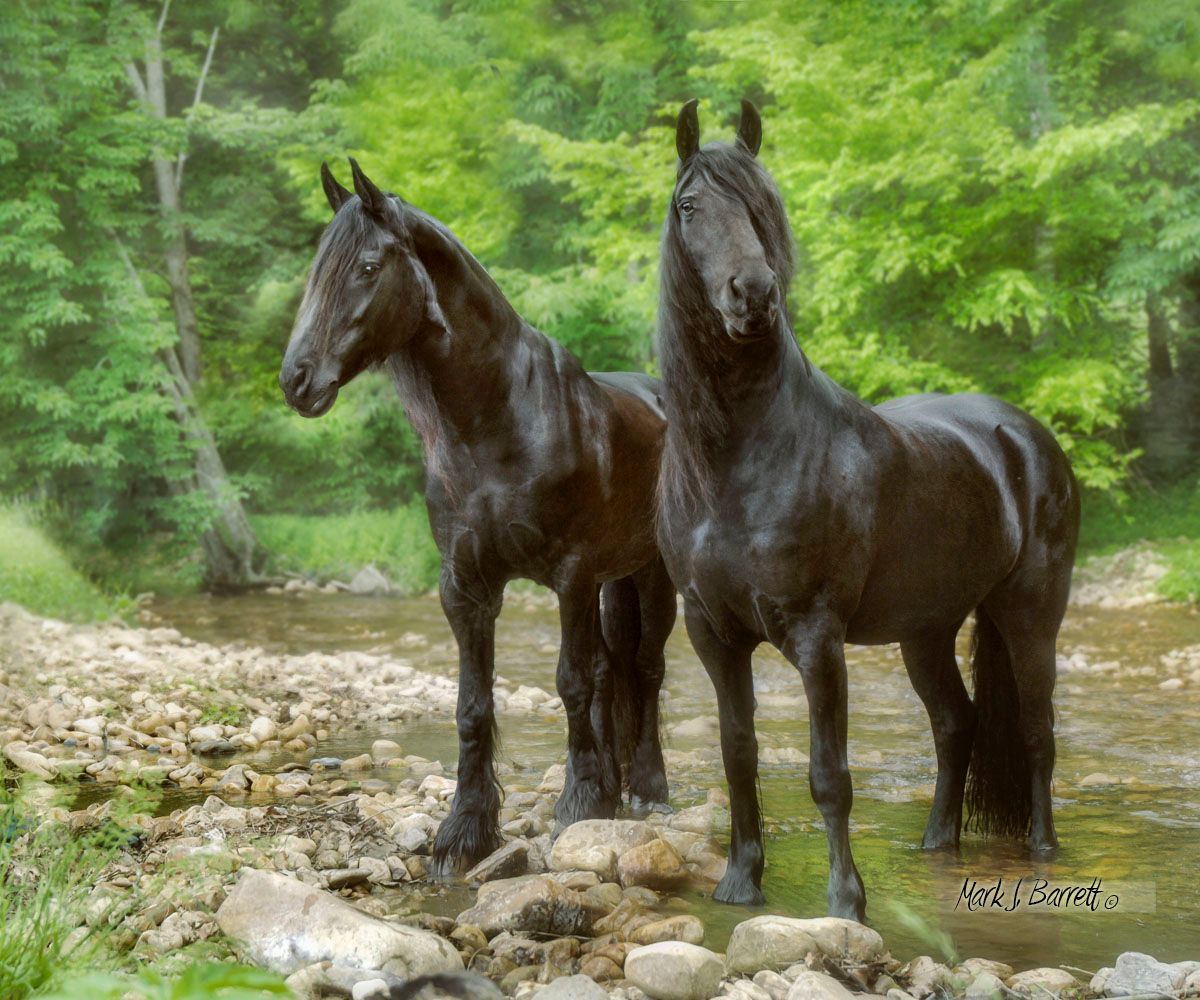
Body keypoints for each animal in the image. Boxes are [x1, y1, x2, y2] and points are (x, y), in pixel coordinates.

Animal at [279, 159, 677, 874]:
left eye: (369, 266)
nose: (297, 379)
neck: (496, 422)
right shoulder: (465, 585)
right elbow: (473, 704)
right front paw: (465, 830)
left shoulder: (571, 575)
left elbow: (571, 682)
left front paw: (579, 802)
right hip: (612, 581)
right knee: (615, 670)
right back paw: (616, 780)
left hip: (649, 576)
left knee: (646, 669)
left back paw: (647, 788)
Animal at [654, 99, 1080, 920]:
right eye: (689, 206)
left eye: (764, 205)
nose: (753, 294)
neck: (734, 462)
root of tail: (1024, 434)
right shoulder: (712, 633)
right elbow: (738, 754)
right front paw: (740, 882)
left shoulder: (818, 635)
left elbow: (829, 775)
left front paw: (846, 902)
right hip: (928, 629)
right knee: (956, 724)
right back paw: (937, 845)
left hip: (1029, 614)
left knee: (1036, 732)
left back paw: (1043, 853)